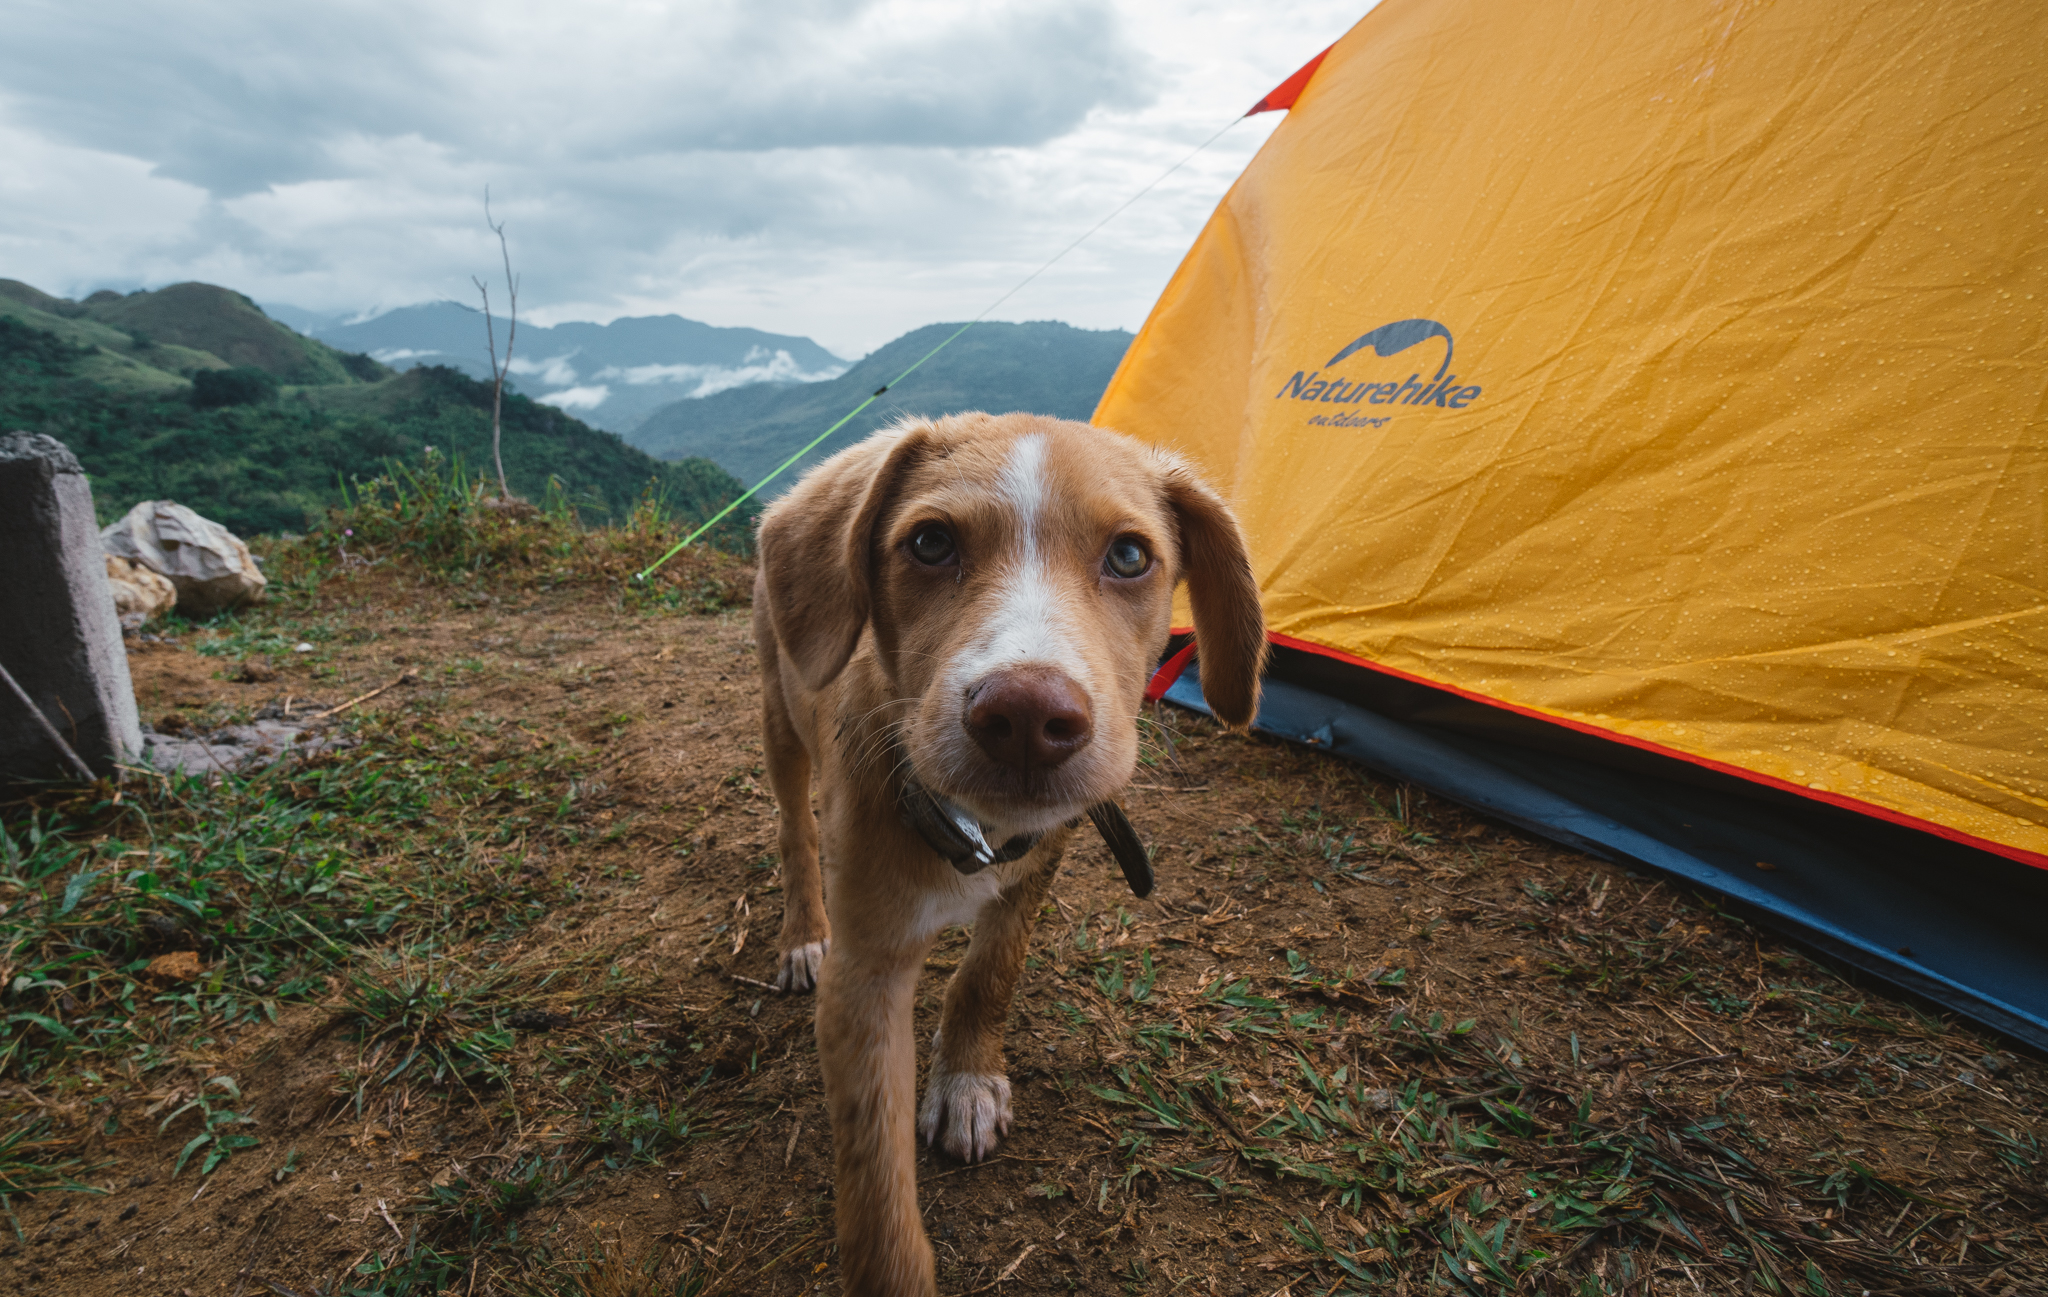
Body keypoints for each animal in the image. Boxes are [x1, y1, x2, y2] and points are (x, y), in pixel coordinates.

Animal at [753, 409, 1261, 1286]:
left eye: (1131, 556)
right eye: (929, 543)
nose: (1027, 715)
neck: (977, 826)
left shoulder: (1039, 862)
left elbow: (989, 972)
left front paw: (966, 1078)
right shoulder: (865, 970)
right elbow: (875, 1182)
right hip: (779, 707)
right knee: (793, 827)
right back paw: (799, 933)